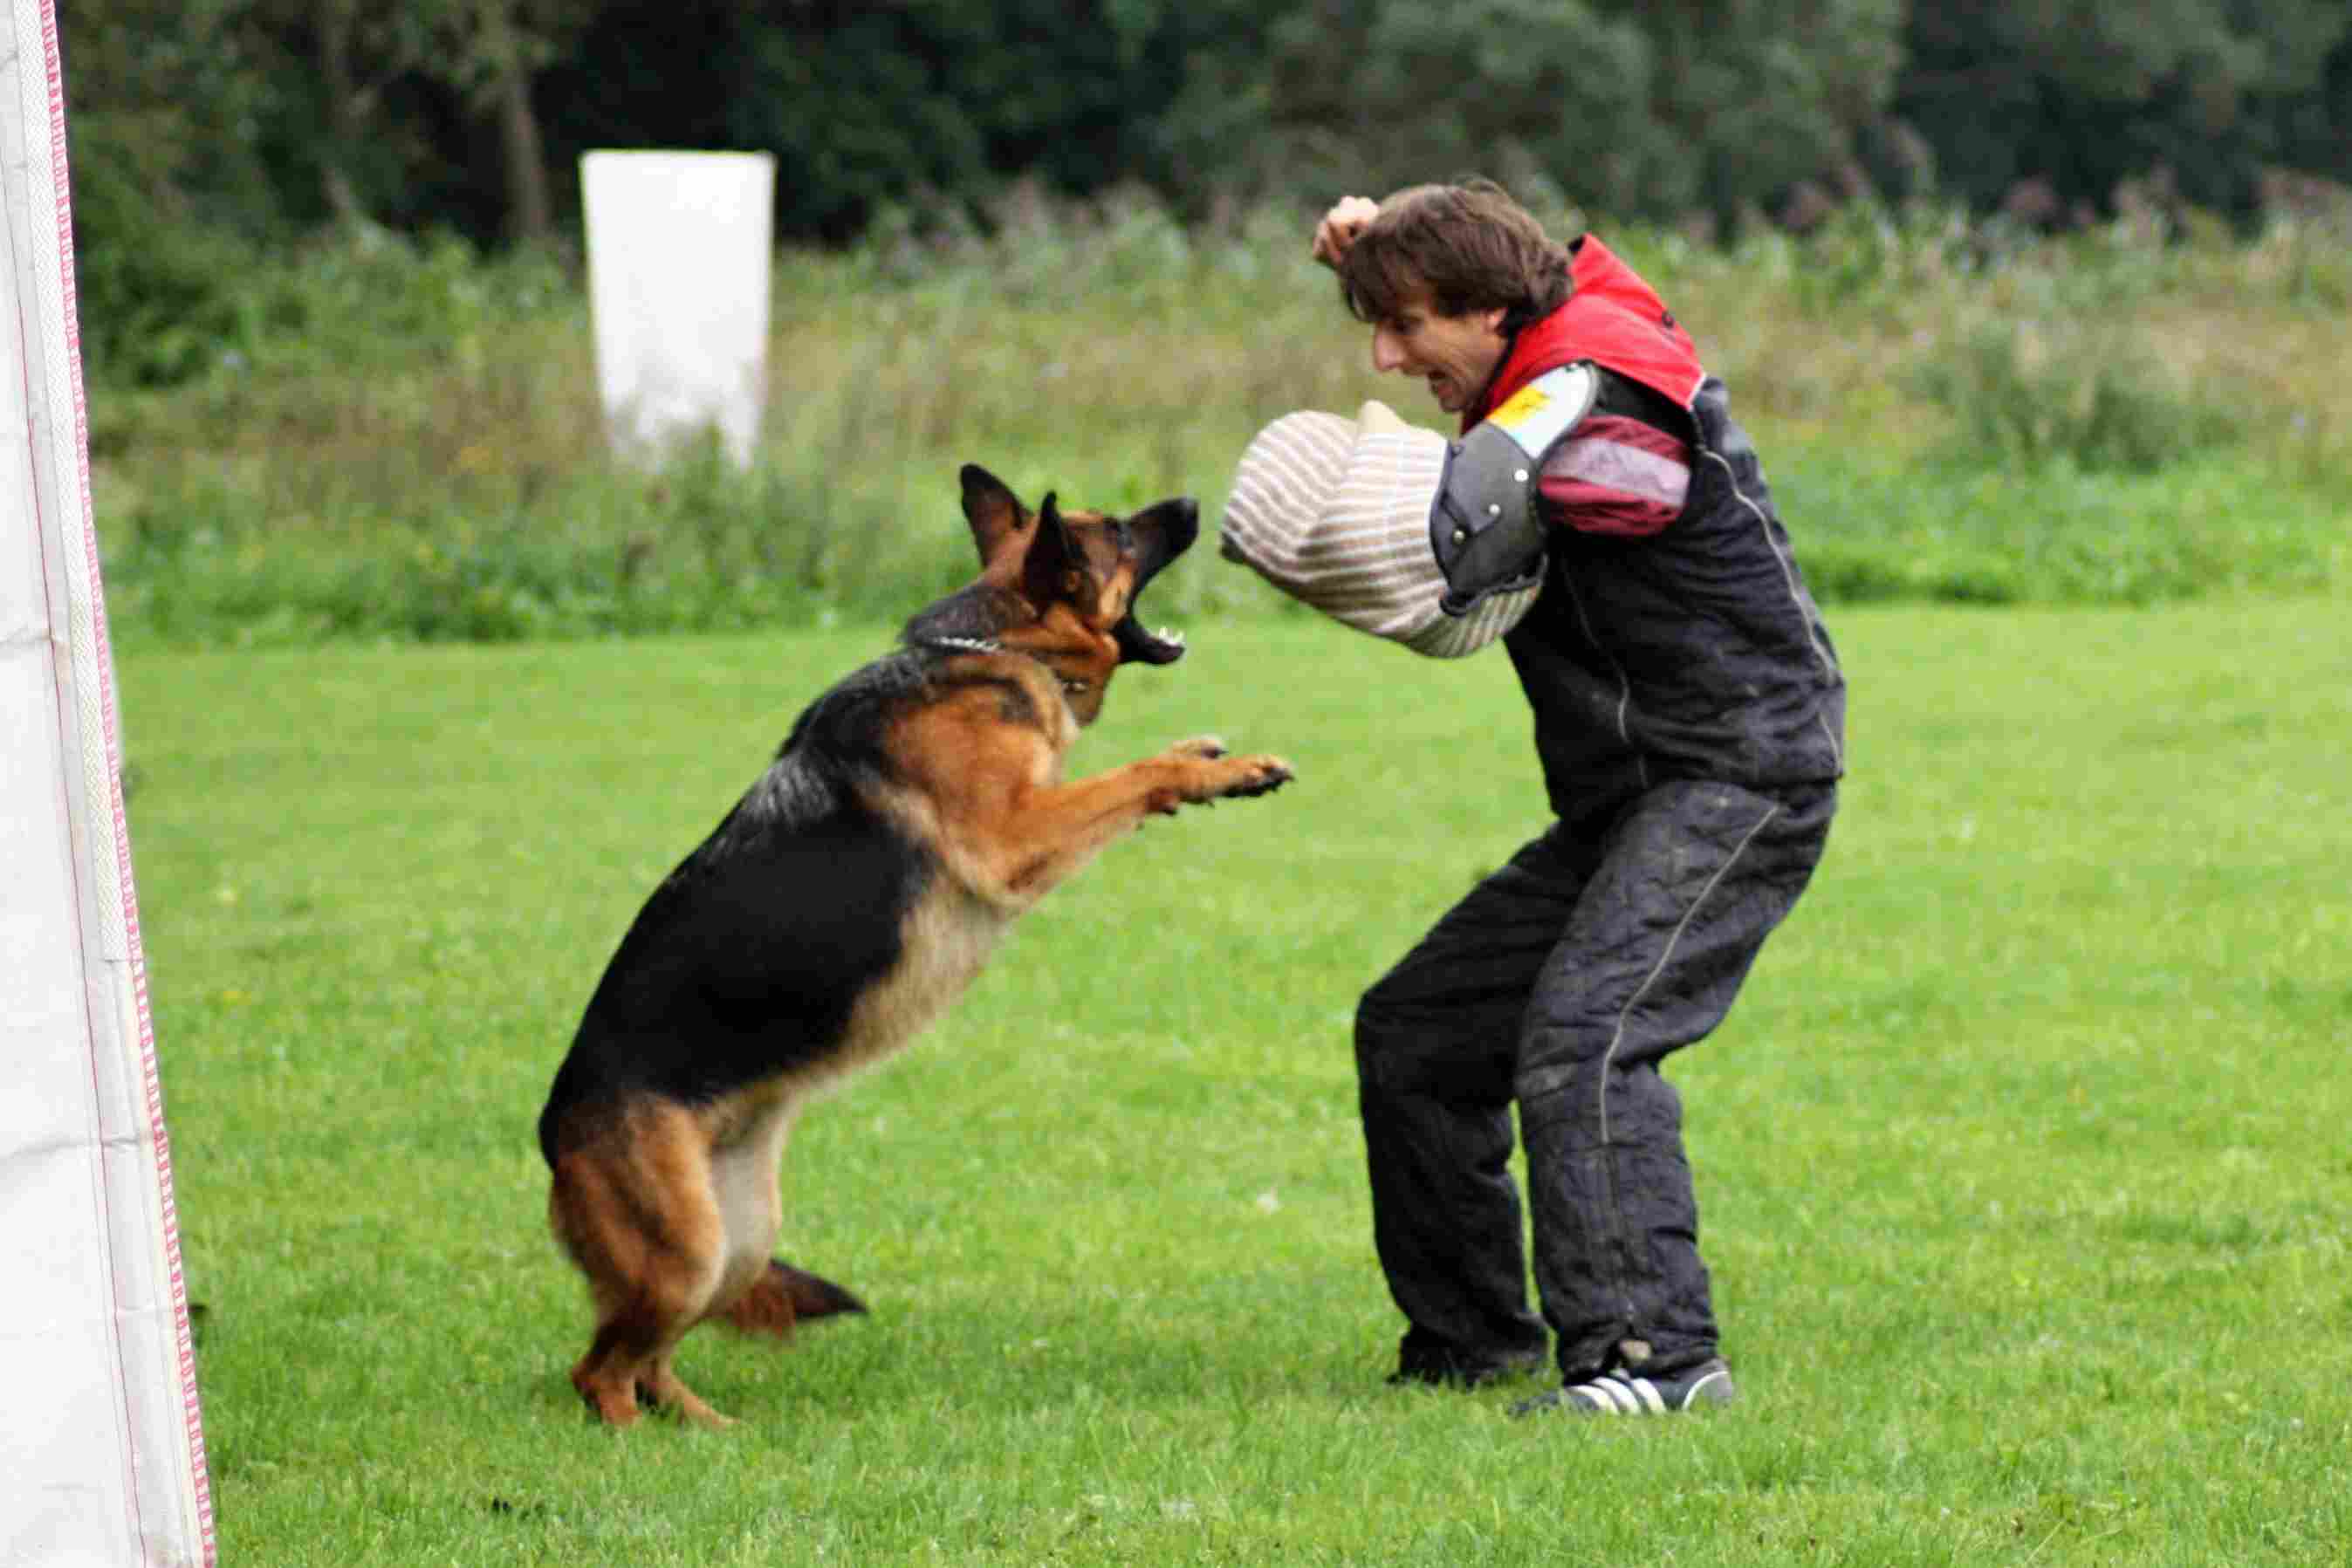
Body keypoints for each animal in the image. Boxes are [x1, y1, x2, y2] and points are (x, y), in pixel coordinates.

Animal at [538, 461, 1288, 1429]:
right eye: (1120, 532)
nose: (1197, 502)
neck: (998, 646)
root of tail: (551, 1128)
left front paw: (1208, 759)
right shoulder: (1013, 837)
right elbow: (1131, 776)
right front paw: (1214, 769)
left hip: (737, 1243)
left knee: (647, 1362)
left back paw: (709, 1431)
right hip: (686, 1251)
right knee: (597, 1371)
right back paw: (636, 1442)